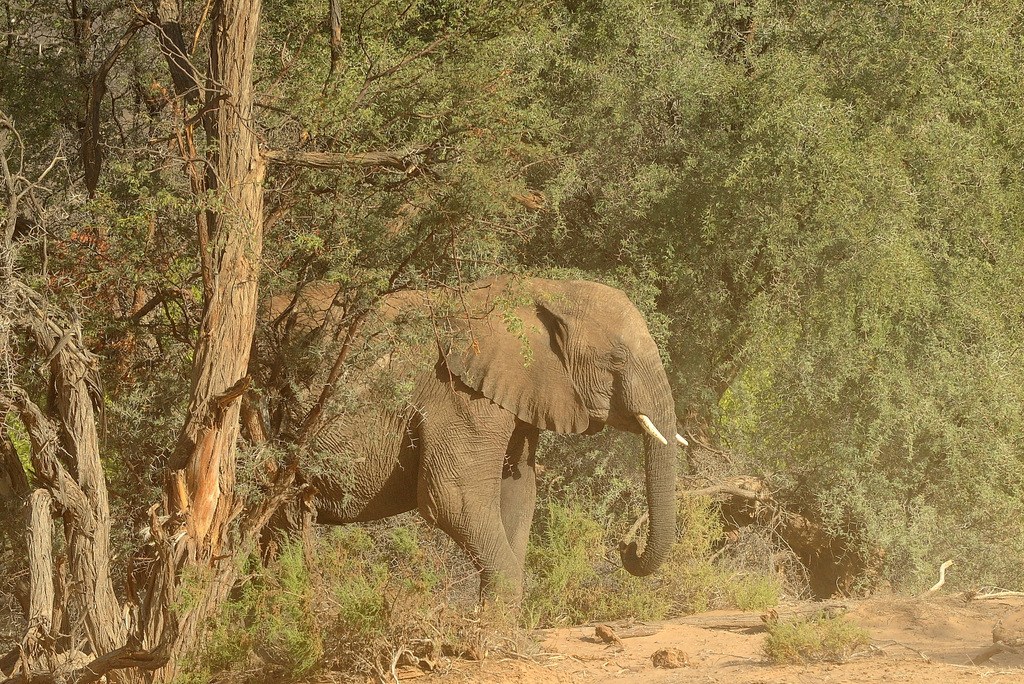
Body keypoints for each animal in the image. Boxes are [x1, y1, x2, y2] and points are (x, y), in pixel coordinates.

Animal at [260, 274, 684, 593]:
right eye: (617, 358)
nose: (626, 544)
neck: (541, 289)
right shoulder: (459, 394)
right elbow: (455, 497)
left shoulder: (517, 392)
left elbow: (518, 492)